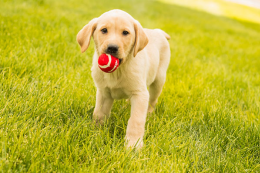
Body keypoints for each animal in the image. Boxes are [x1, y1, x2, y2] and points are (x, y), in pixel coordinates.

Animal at [77, 9, 171, 149]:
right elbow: (98, 113)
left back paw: (149, 114)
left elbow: (136, 120)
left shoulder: (140, 93)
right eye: (104, 30)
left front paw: (133, 145)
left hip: (158, 81)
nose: (112, 48)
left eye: (125, 33)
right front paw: (95, 134)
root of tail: (158, 31)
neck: (118, 71)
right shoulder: (104, 93)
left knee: (152, 101)